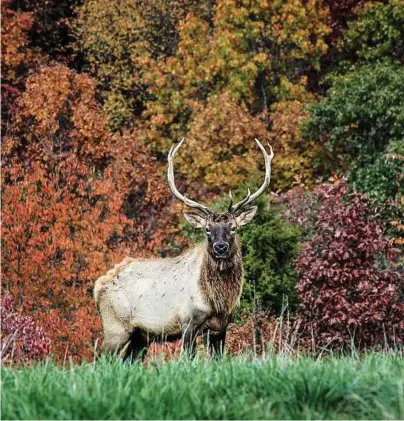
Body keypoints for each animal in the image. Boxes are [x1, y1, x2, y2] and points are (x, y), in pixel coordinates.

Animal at [93, 137, 274, 358]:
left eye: (233, 228)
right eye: (207, 229)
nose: (220, 247)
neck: (219, 302)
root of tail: (98, 287)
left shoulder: (221, 327)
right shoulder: (189, 321)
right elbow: (187, 357)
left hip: (140, 336)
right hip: (115, 327)